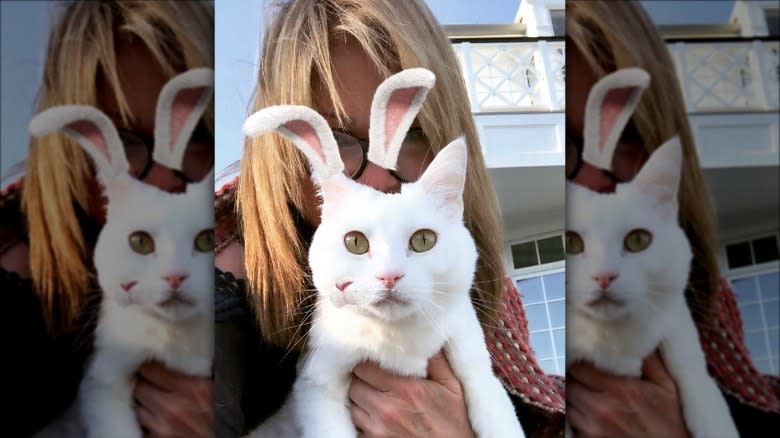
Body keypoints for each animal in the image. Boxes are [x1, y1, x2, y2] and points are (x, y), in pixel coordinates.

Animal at [242, 67, 524, 438]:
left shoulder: (475, 365)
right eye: (355, 242)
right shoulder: (316, 383)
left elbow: (497, 416)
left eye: (423, 240)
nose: (389, 276)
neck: (397, 341)